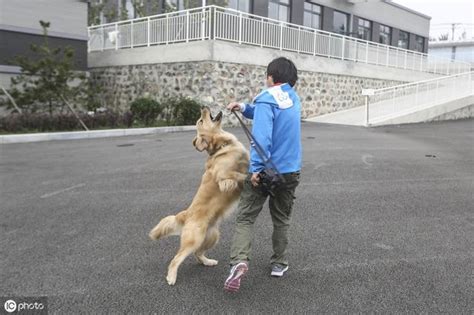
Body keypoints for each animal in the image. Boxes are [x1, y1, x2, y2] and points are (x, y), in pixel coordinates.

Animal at [150, 106, 250, 286]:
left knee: (198, 254)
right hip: (194, 239)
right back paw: (171, 277)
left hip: (212, 236)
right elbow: (239, 174)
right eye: (200, 120)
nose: (203, 107)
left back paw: (208, 262)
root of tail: (186, 214)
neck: (222, 146)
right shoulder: (223, 177)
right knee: (176, 259)